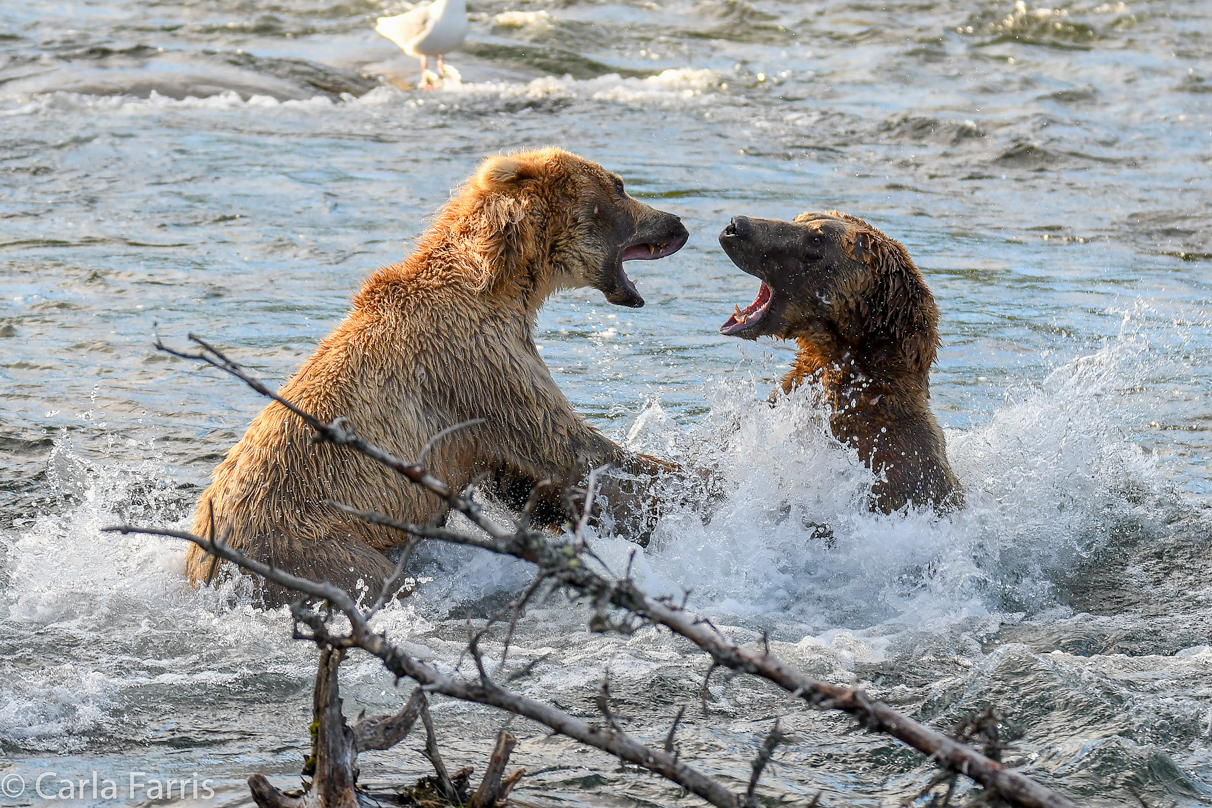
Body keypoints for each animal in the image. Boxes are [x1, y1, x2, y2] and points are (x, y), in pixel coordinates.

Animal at [184, 148, 688, 598]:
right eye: (619, 185)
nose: (678, 223)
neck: (503, 285)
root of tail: (204, 569)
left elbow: (528, 479)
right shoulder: (479, 366)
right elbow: (571, 451)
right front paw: (688, 481)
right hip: (316, 546)